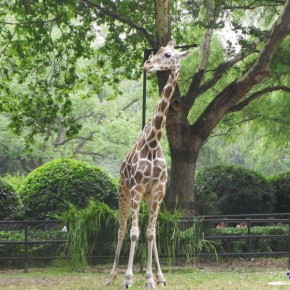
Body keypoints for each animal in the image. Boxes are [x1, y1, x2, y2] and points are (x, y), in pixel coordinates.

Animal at [106, 39, 190, 288]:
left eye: (169, 54)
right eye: (157, 51)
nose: (148, 64)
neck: (153, 141)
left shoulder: (158, 192)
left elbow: (151, 234)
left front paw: (151, 279)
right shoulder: (135, 190)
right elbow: (133, 233)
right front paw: (128, 278)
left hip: (147, 198)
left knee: (148, 230)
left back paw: (160, 276)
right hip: (124, 193)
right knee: (122, 228)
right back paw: (111, 275)